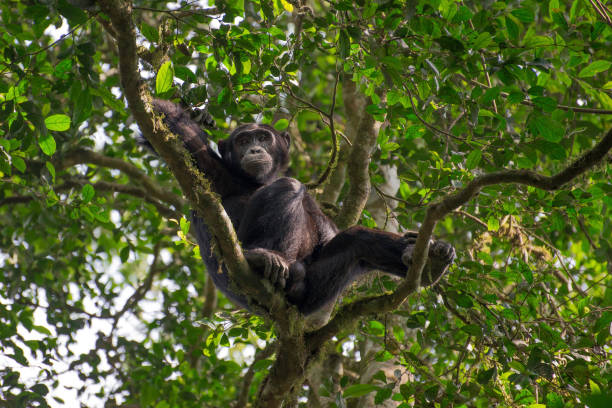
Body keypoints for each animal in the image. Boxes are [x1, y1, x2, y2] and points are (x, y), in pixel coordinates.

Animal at [148, 99, 454, 328]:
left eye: (263, 137)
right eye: (243, 140)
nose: (254, 148)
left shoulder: (312, 200)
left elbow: (327, 237)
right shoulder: (207, 166)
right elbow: (168, 131)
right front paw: (192, 112)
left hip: (313, 293)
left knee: (357, 241)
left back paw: (431, 262)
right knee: (287, 187)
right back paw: (264, 258)